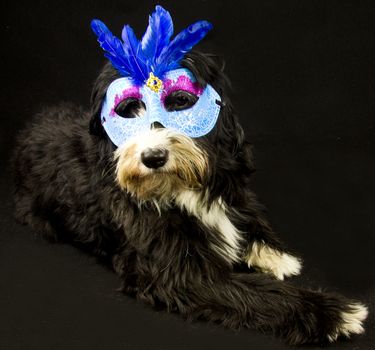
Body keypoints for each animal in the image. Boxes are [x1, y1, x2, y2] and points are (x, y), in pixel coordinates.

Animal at [12, 6, 370, 346]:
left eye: (180, 103)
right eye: (127, 112)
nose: (153, 157)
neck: (178, 185)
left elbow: (247, 216)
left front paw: (275, 255)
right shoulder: (180, 273)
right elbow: (252, 291)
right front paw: (329, 313)